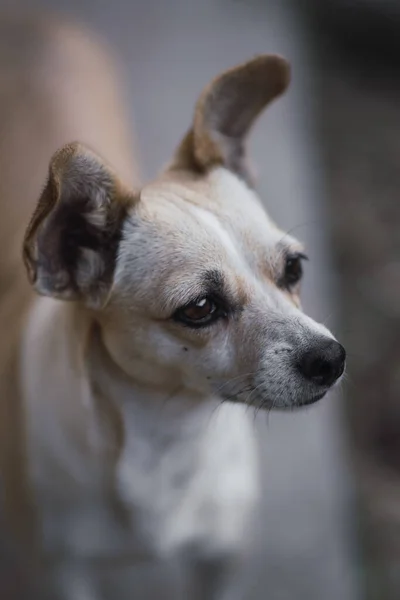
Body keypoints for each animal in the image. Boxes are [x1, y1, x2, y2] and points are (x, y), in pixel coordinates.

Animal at [0, 44, 346, 596]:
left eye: (294, 268)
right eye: (200, 308)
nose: (331, 358)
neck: (169, 435)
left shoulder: (222, 555)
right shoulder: (59, 572)